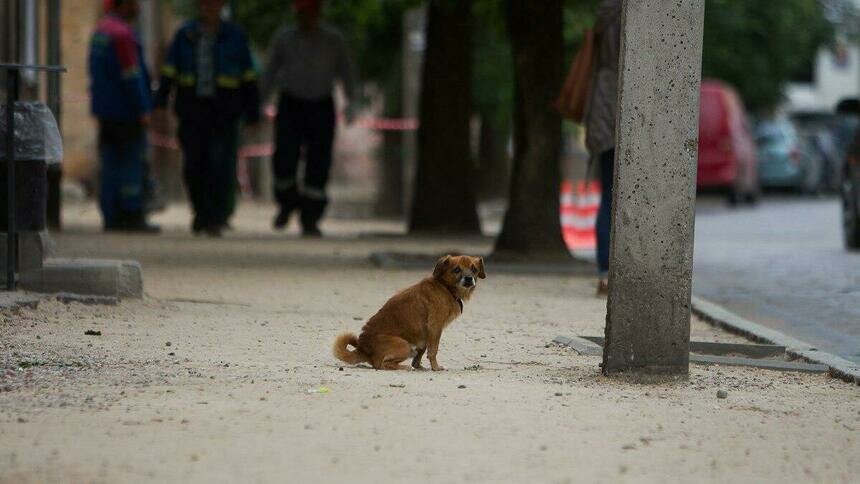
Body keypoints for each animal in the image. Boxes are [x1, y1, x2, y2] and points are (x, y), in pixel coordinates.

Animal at [334, 253, 488, 370]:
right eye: (456, 269)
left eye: (474, 269)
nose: (468, 278)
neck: (445, 287)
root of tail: (364, 349)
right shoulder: (435, 327)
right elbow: (433, 351)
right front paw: (435, 368)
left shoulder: (426, 334)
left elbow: (422, 351)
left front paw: (418, 366)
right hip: (404, 346)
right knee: (382, 364)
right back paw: (404, 367)